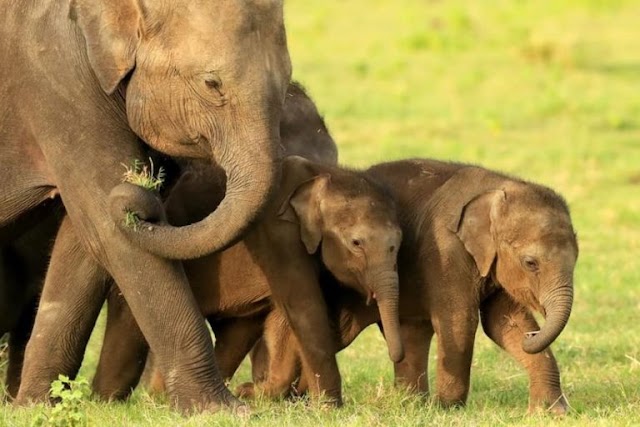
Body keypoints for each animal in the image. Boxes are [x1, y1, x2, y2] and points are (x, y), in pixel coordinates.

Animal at [0, 0, 290, 414]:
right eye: (211, 84)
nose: (138, 192)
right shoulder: (55, 81)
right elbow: (110, 234)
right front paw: (220, 410)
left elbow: (87, 243)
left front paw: (36, 408)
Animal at [95, 155, 402, 406]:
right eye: (356, 243)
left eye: (398, 244)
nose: (394, 357)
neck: (323, 174)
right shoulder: (275, 235)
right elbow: (303, 306)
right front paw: (330, 408)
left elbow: (283, 317)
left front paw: (255, 392)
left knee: (239, 331)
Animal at [242, 159, 576, 416]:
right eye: (530, 263)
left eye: (577, 259)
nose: (535, 334)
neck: (497, 187)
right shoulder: (445, 251)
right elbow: (459, 320)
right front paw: (447, 409)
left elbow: (503, 323)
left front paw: (551, 412)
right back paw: (260, 392)